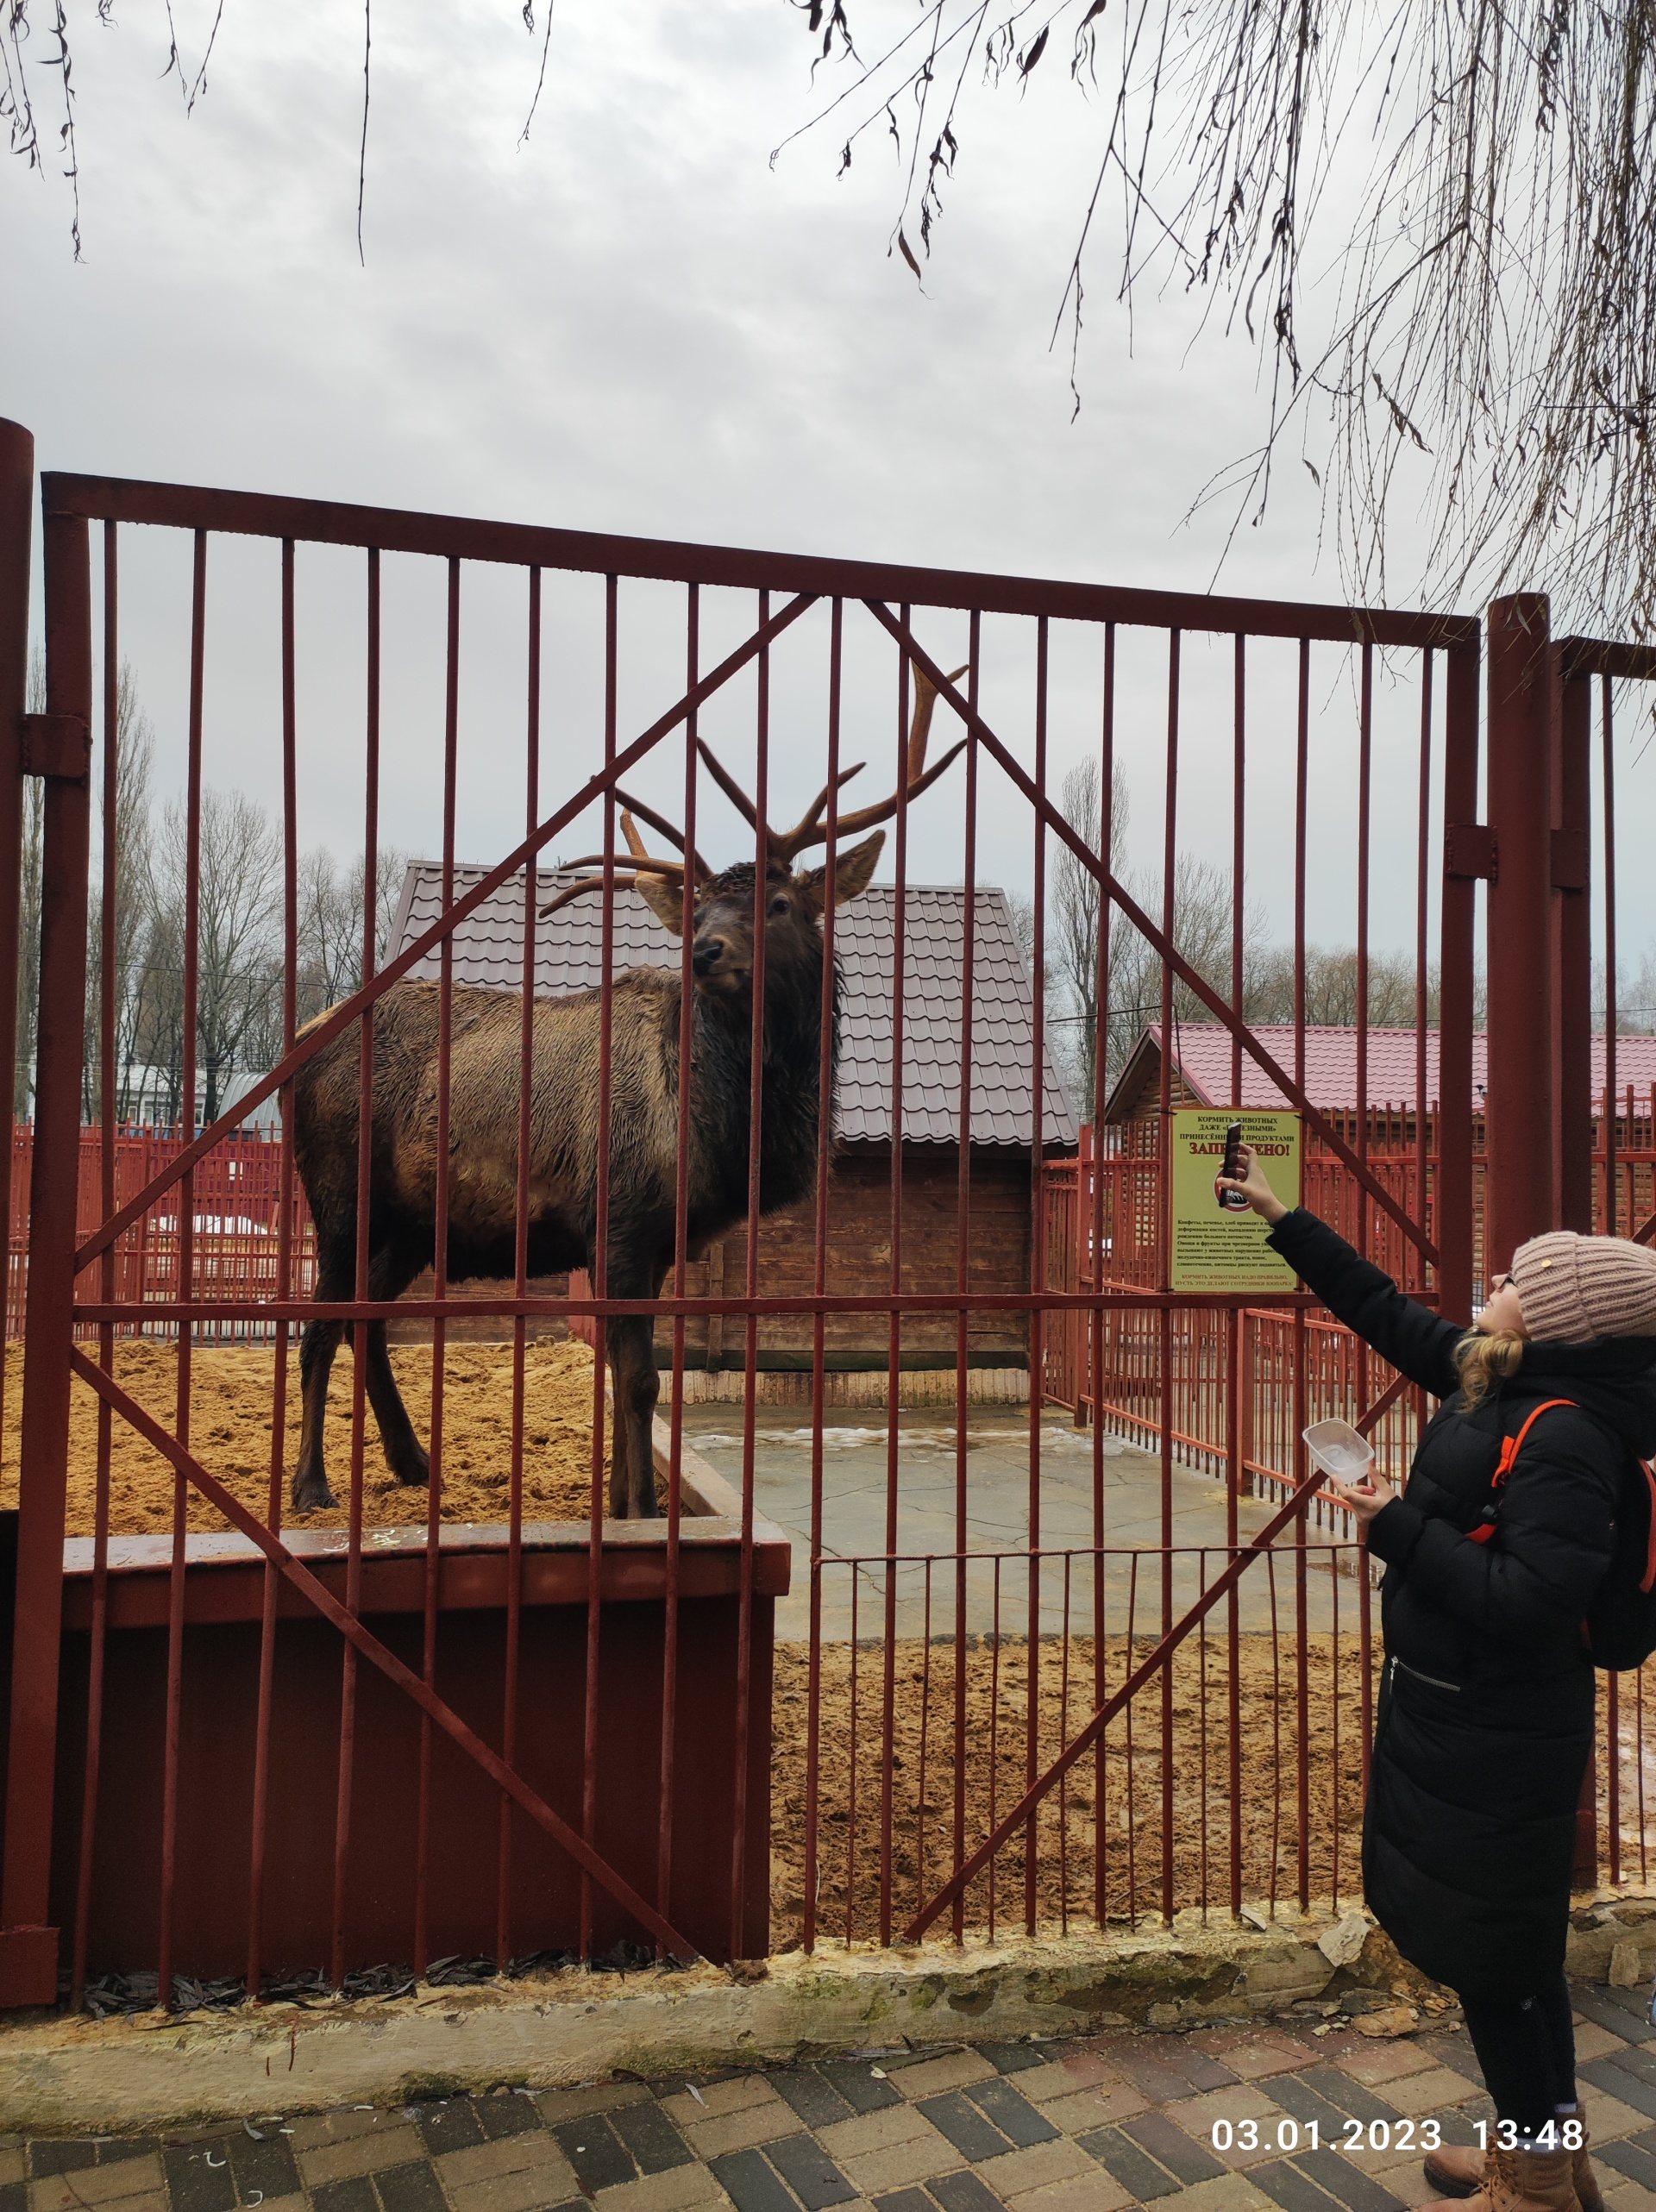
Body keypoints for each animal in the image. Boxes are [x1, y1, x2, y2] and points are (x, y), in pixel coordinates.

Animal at [287, 667, 968, 1521]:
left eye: (779, 904)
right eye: (700, 908)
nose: (703, 949)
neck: (719, 1131)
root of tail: (297, 1044)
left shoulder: (658, 1242)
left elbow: (623, 1373)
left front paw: (618, 1498)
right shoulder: (619, 1217)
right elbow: (640, 1379)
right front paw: (640, 1509)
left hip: (411, 1222)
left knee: (368, 1320)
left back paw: (415, 1463)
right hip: (338, 1192)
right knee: (318, 1326)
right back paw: (310, 1485)